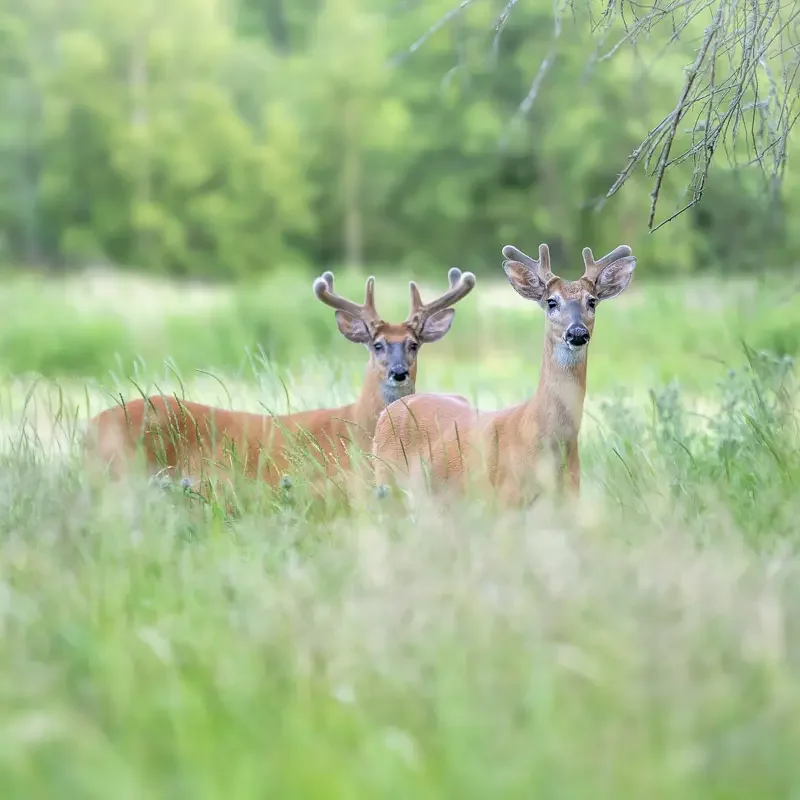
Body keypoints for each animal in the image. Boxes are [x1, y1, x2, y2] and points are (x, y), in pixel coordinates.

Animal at [371, 242, 636, 506]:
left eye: (591, 301)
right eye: (551, 301)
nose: (577, 332)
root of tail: (389, 411)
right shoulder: (504, 499)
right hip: (386, 481)